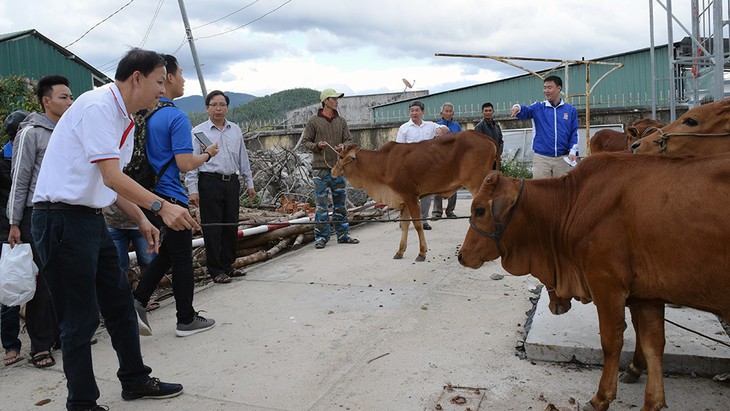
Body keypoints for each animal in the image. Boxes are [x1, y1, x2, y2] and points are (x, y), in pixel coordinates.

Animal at [332, 130, 498, 262]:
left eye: (341, 156)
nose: (333, 171)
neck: (382, 163)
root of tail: (485, 137)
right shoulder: (403, 199)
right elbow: (405, 225)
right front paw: (399, 251)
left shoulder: (410, 196)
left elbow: (417, 224)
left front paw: (422, 253)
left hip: (477, 184)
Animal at [458, 154, 724, 411]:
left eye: (479, 210)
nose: (461, 256)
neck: (571, 204)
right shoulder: (649, 296)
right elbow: (653, 345)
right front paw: (651, 400)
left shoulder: (607, 284)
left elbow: (612, 341)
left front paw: (602, 397)